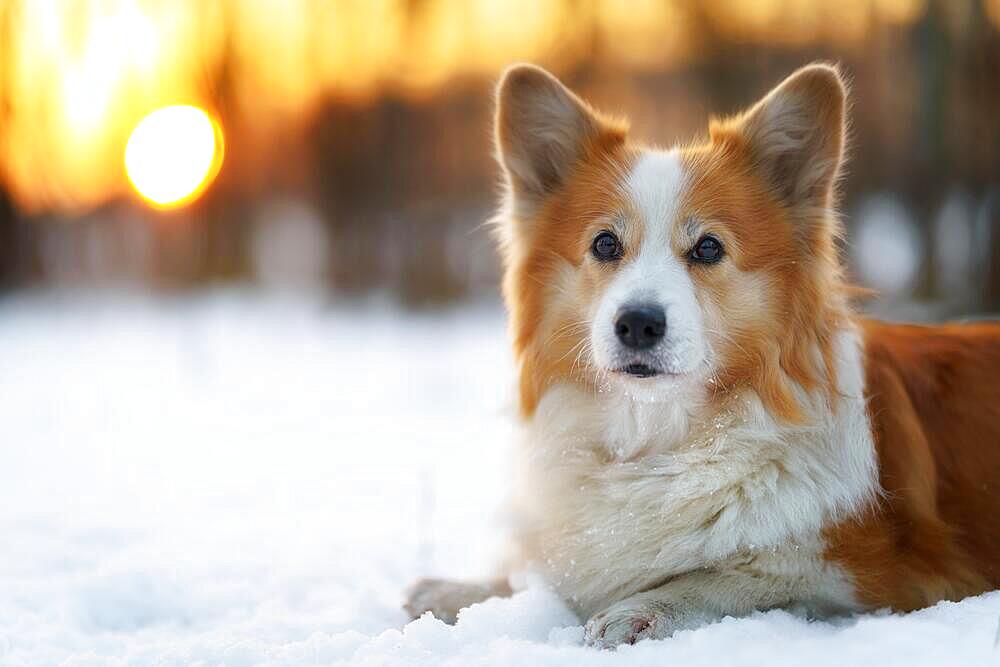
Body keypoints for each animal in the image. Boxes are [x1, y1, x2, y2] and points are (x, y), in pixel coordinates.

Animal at [402, 61, 1000, 648]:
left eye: (709, 247)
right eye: (604, 244)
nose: (638, 324)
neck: (659, 438)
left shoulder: (876, 575)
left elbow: (743, 574)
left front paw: (645, 607)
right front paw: (461, 591)